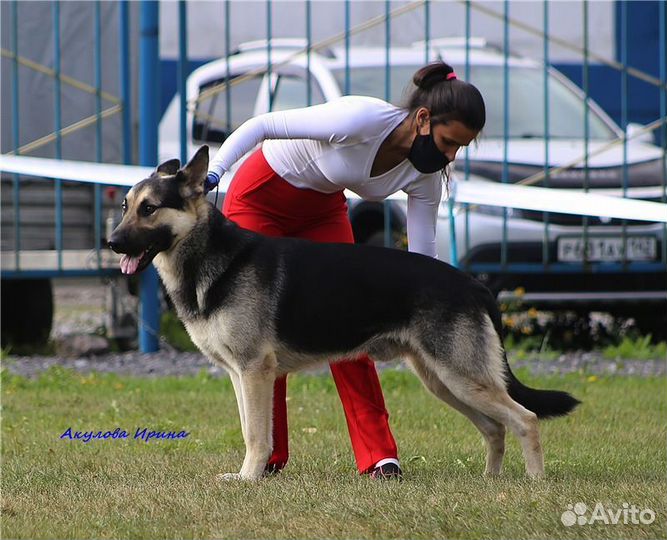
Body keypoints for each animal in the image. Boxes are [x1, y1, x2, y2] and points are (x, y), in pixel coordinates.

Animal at [108, 147, 580, 480]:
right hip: (444, 382)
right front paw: (250, 476)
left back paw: (533, 483)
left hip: (461, 377)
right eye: (126, 206)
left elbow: (256, 434)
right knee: (495, 428)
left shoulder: (255, 372)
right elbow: (249, 429)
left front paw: (248, 479)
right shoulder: (239, 376)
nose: (111, 243)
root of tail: (473, 284)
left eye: (149, 208)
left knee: (525, 419)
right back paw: (490, 481)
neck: (212, 255)